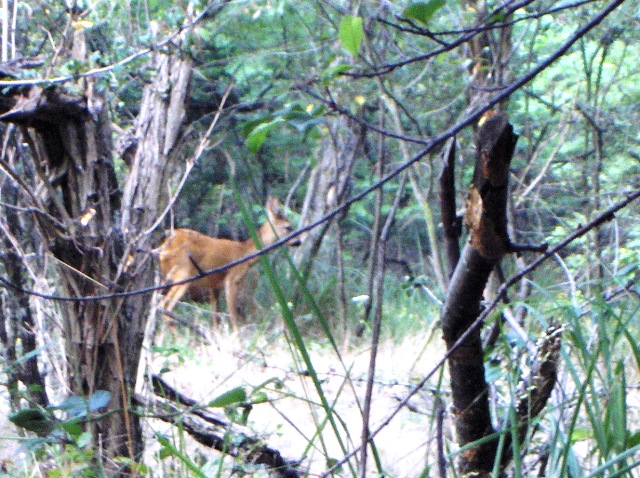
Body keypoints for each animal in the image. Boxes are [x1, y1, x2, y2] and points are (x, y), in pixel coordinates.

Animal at [159, 196, 302, 334]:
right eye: (288, 227)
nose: (299, 241)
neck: (245, 253)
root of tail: (165, 247)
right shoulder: (232, 279)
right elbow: (233, 315)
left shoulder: (214, 286)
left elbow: (216, 317)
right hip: (183, 273)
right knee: (164, 306)